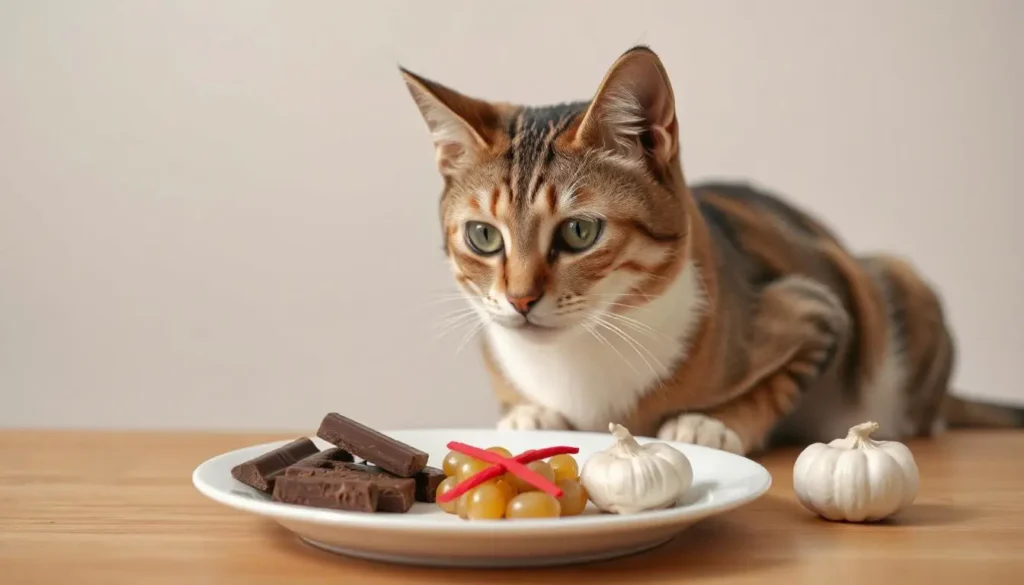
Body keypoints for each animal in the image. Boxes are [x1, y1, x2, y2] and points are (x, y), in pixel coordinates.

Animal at [397, 46, 1015, 456]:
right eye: (483, 237)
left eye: (579, 233)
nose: (520, 300)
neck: (580, 357)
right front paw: (529, 415)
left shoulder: (818, 309)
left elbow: (779, 383)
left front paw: (711, 425)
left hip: (896, 284)